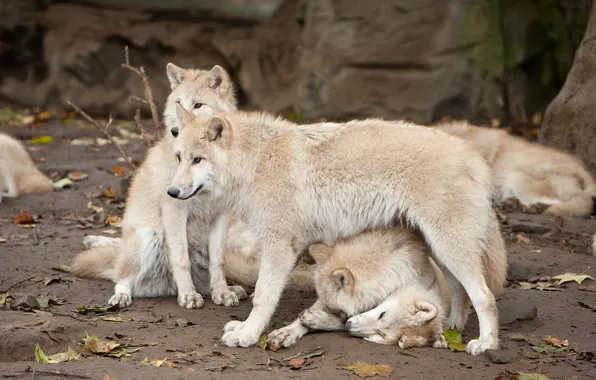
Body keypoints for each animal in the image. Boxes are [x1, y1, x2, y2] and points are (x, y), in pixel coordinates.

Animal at [71, 63, 247, 310]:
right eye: (178, 103)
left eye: (197, 105)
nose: (175, 130)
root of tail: (166, 287)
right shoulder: (174, 210)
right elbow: (181, 260)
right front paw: (188, 296)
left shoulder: (220, 216)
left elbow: (218, 261)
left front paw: (222, 293)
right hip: (148, 236)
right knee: (123, 280)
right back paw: (122, 297)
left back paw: (227, 290)